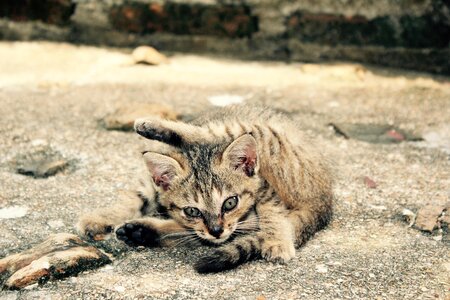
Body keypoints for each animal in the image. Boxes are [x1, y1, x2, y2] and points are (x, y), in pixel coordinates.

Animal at [76, 104, 334, 274]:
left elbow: (271, 210)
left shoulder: (262, 186)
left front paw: (277, 240)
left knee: (209, 134)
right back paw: (142, 231)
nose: (217, 230)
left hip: (267, 138)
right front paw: (100, 218)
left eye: (230, 203)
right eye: (192, 211)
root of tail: (324, 198)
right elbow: (136, 199)